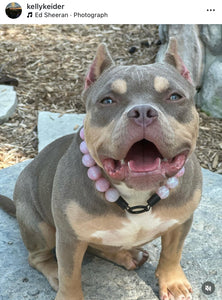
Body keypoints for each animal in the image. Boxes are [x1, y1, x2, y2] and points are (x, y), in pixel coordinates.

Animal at [0, 39, 201, 300]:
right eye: (107, 100)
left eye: (175, 96)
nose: (143, 112)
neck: (136, 198)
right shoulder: (69, 238)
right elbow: (70, 275)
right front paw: (67, 291)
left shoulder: (181, 221)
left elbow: (172, 252)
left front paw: (173, 283)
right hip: (39, 226)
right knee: (38, 258)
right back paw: (55, 272)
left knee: (99, 246)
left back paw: (127, 254)